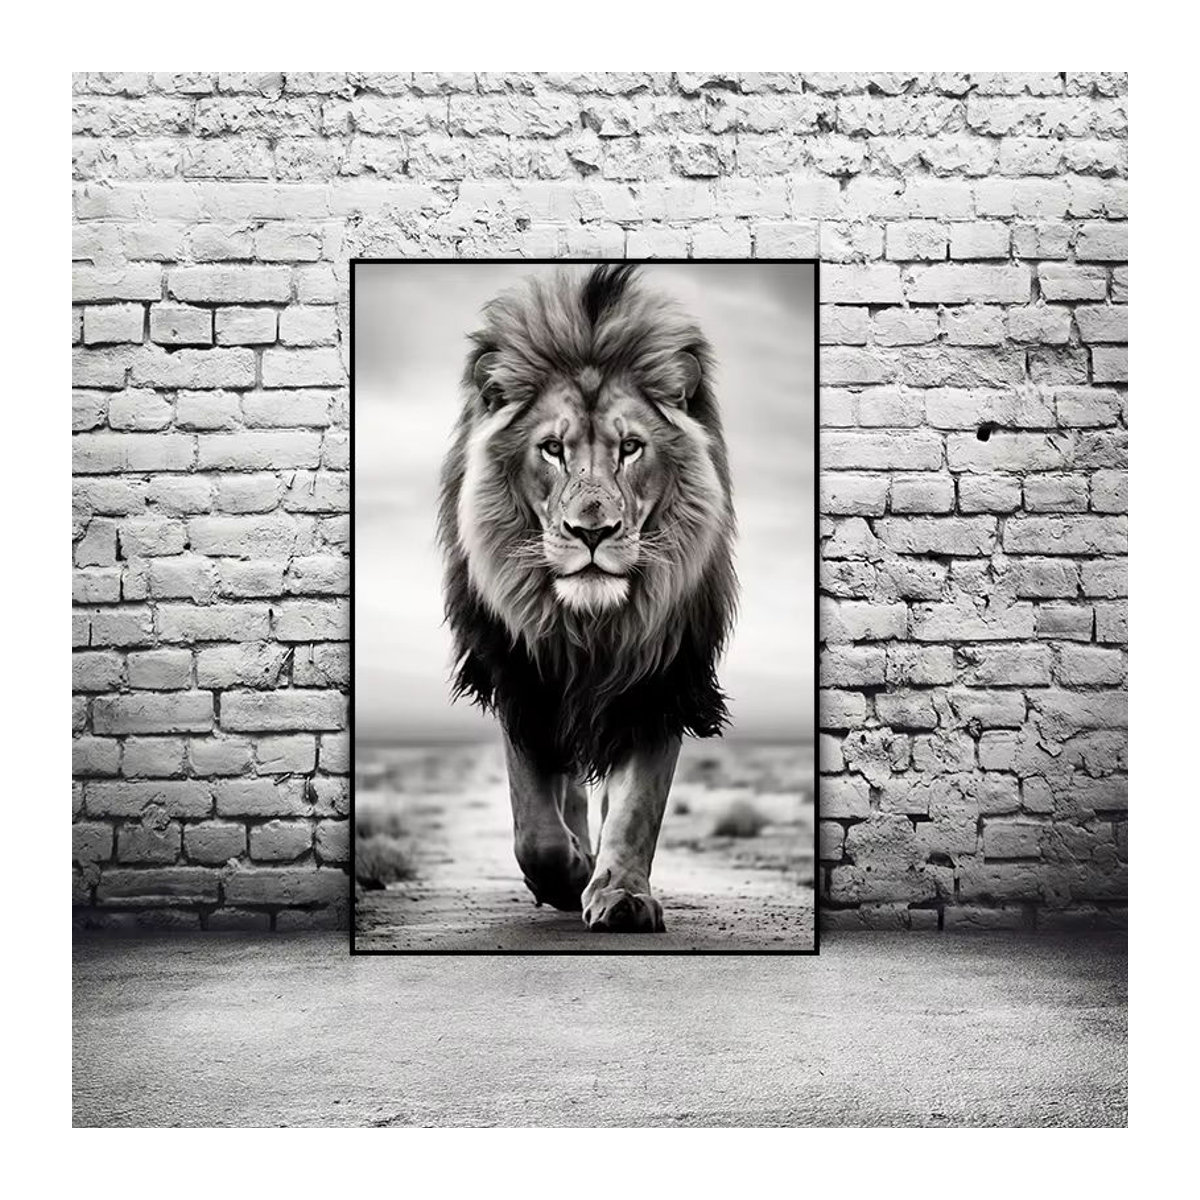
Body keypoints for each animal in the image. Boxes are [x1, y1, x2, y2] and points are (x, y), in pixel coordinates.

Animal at [437, 264, 737, 932]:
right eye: (553, 449)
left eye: (630, 448)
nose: (591, 532)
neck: (592, 627)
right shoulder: (521, 673)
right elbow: (535, 826)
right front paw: (567, 873)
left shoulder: (661, 678)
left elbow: (637, 807)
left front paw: (621, 894)